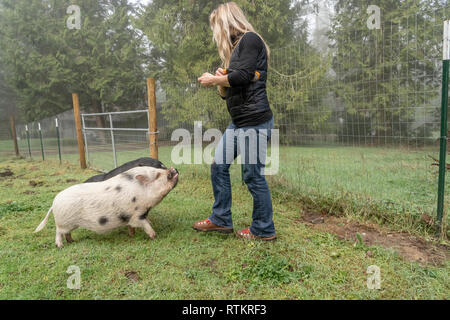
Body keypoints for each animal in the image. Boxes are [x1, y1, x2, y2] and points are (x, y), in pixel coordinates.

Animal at [34, 165, 178, 248]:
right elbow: (146, 225)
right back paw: (60, 246)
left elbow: (134, 226)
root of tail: (53, 203)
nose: (174, 169)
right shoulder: (137, 215)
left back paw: (72, 242)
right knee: (58, 232)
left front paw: (131, 235)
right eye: (157, 175)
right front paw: (155, 236)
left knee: (66, 234)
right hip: (63, 223)